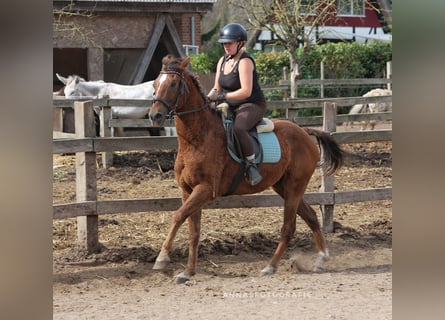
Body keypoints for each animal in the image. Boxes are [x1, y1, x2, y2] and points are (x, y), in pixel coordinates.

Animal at [149, 54, 344, 282]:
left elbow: (178, 216)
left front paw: (162, 259)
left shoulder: (205, 189)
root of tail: (305, 132)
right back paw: (321, 259)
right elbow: (193, 230)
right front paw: (188, 272)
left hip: (295, 187)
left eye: (173, 84)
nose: (155, 115)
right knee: (311, 216)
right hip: (284, 187)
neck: (196, 139)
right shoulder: (187, 190)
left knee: (288, 227)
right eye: (155, 84)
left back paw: (270, 266)